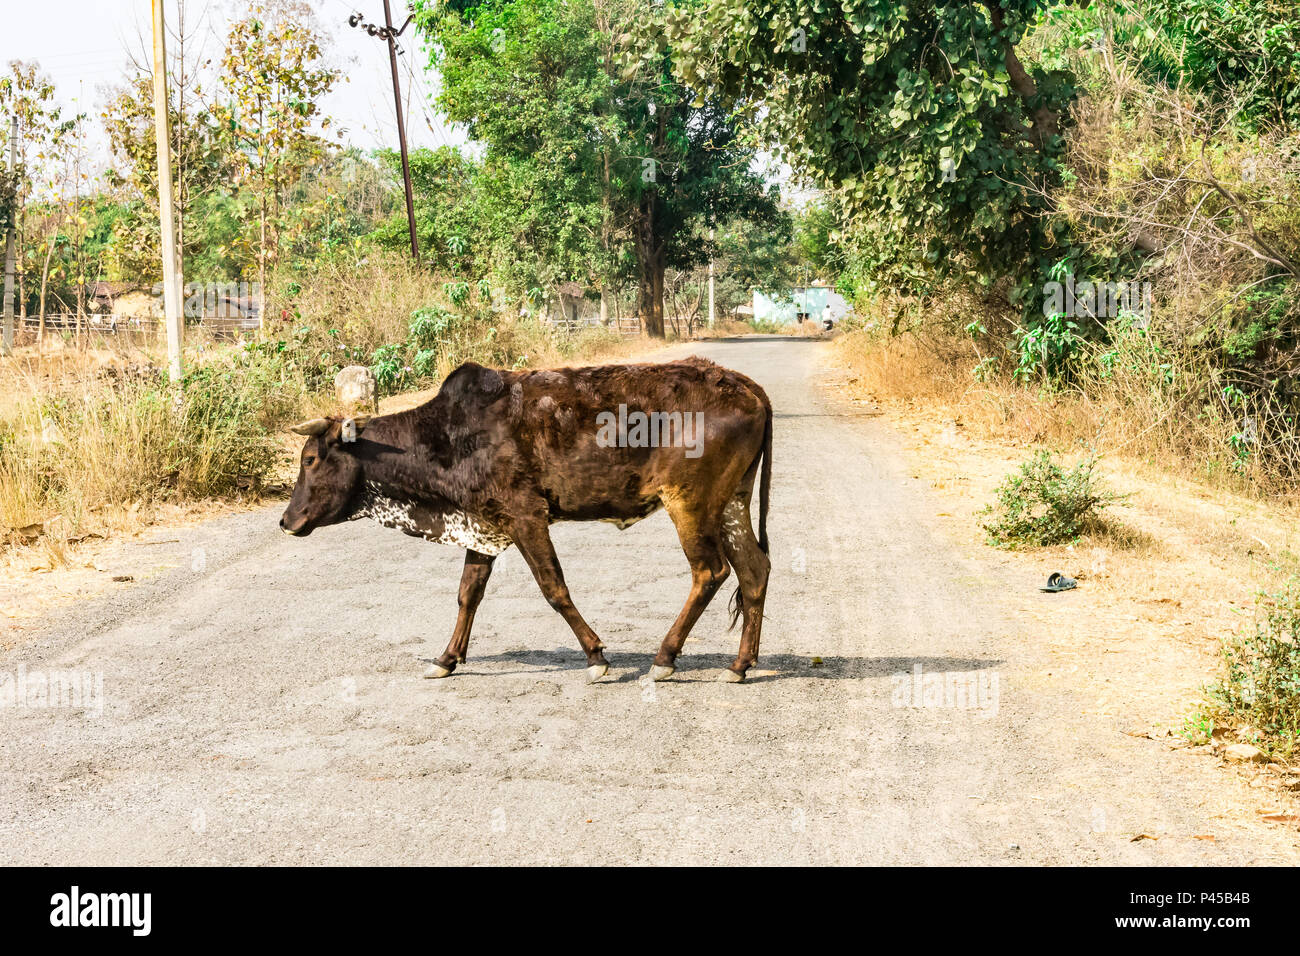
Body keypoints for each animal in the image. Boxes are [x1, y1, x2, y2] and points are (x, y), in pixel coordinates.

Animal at [279, 356, 769, 681]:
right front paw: (446, 659)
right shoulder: (483, 526)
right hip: (731, 502)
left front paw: (596, 657)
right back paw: (740, 664)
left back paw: (665, 658)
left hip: (689, 503)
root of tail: (743, 384)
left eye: (309, 460)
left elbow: (554, 589)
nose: (286, 521)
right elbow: (468, 595)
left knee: (710, 572)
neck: (446, 435)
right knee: (754, 570)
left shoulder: (526, 516)